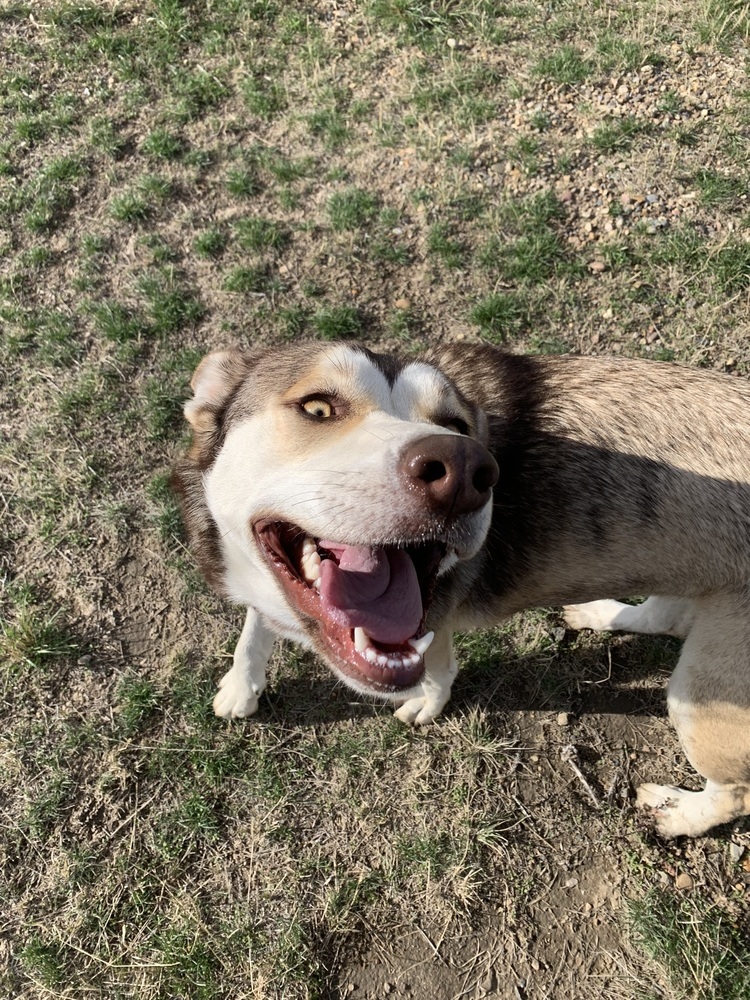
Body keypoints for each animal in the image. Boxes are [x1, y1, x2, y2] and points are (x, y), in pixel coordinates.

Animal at [173, 340, 750, 840]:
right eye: (317, 407)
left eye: (455, 426)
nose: (464, 469)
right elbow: (254, 627)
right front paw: (241, 685)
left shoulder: (436, 616)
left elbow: (436, 666)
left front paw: (427, 705)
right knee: (666, 617)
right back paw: (600, 613)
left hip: (703, 696)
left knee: (734, 791)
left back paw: (680, 816)